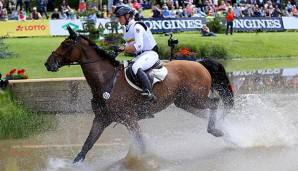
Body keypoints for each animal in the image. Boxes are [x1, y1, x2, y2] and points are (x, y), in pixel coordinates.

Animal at [45, 26, 234, 163]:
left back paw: (216, 130)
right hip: (185, 102)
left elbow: (142, 145)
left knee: (215, 103)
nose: (48, 63)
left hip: (196, 98)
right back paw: (227, 134)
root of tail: (200, 63)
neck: (106, 81)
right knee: (208, 112)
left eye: (66, 45)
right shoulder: (101, 119)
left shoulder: (129, 119)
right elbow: (86, 146)